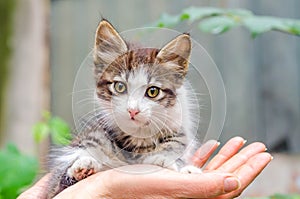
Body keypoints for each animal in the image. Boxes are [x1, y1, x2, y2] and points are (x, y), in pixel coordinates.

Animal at [47, 19, 202, 198]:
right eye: (120, 87)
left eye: (153, 91)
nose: (132, 110)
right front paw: (81, 166)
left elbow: (174, 145)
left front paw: (169, 162)